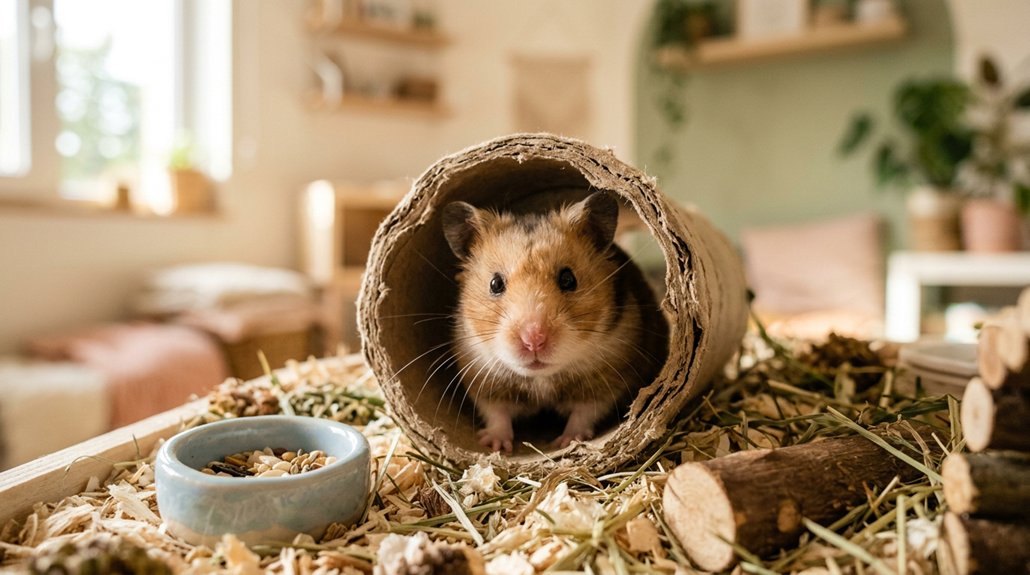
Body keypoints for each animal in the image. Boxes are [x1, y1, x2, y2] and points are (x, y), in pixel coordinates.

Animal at [441, 192, 669, 452]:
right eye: (495, 283)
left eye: (568, 279)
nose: (534, 340)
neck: (541, 378)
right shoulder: (482, 377)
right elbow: (496, 413)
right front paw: (494, 445)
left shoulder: (608, 378)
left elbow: (585, 412)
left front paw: (568, 441)